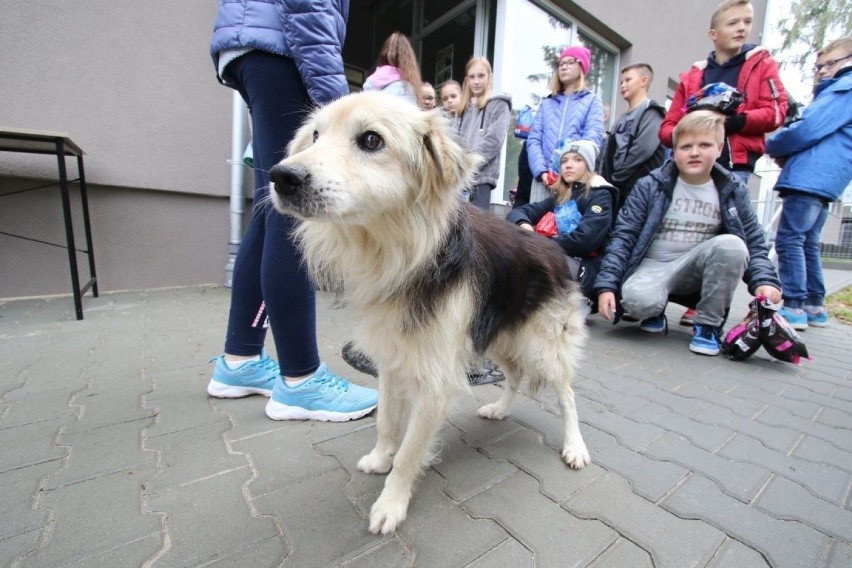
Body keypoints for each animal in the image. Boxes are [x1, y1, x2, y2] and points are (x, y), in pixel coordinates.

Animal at [270, 91, 588, 536]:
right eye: (315, 135)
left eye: (371, 140)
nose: (280, 176)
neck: (402, 254)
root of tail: (555, 248)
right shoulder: (392, 360)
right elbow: (387, 421)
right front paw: (379, 458)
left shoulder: (435, 379)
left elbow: (409, 453)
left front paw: (391, 503)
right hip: (496, 335)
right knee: (515, 375)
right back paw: (499, 409)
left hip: (544, 343)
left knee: (567, 395)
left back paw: (575, 446)